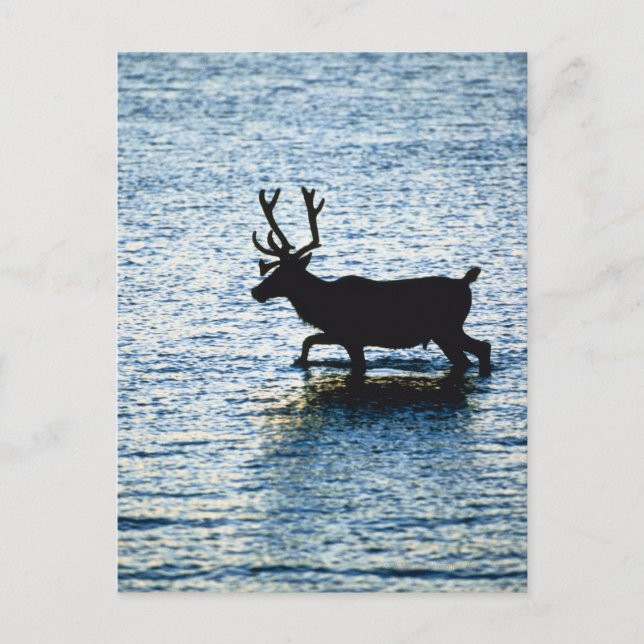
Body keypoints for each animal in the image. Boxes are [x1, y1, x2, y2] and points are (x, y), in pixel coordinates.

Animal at [250, 187, 491, 376]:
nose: (256, 291)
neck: (322, 306)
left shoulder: (350, 336)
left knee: (483, 348)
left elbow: (311, 342)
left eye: (283, 274)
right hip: (445, 333)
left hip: (448, 328)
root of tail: (465, 283)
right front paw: (300, 361)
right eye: (275, 270)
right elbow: (308, 340)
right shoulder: (341, 335)